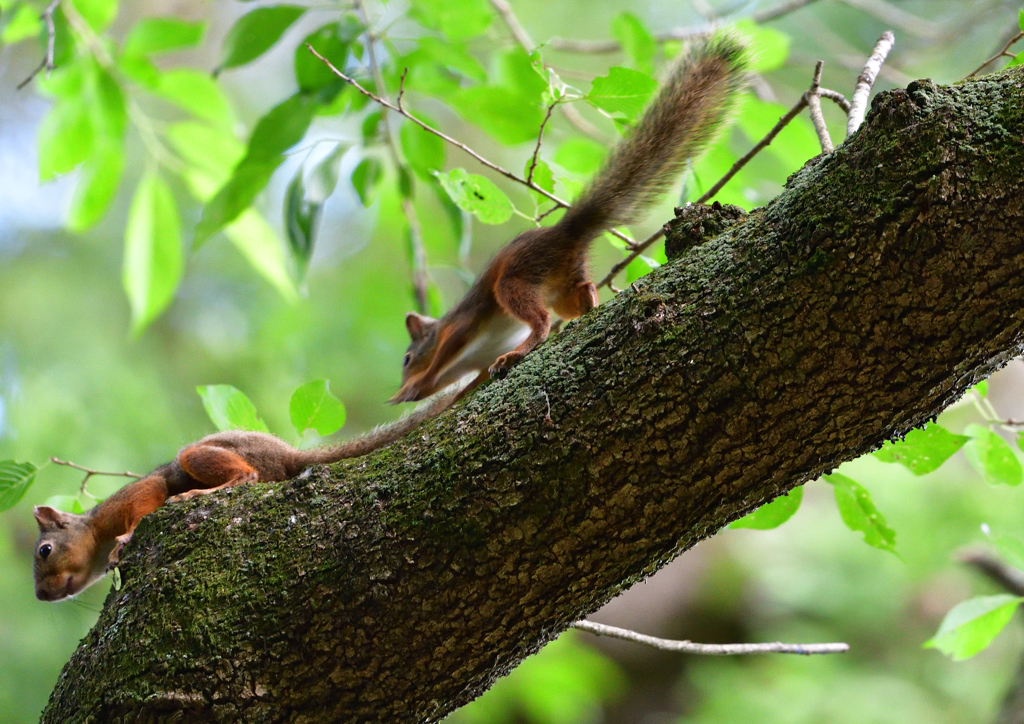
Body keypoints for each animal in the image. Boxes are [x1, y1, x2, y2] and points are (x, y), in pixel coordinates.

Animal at [34, 387, 454, 602]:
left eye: (45, 550)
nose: (40, 595)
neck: (94, 529)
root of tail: (288, 455)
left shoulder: (134, 494)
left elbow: (144, 503)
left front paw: (126, 539)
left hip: (202, 455)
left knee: (247, 475)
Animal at [389, 35, 745, 407]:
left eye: (407, 358)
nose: (401, 393)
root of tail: (567, 232)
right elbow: (468, 384)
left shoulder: (460, 327)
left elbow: (444, 357)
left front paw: (417, 385)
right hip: (561, 286)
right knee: (582, 291)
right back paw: (588, 306)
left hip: (515, 278)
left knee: (542, 321)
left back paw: (517, 353)